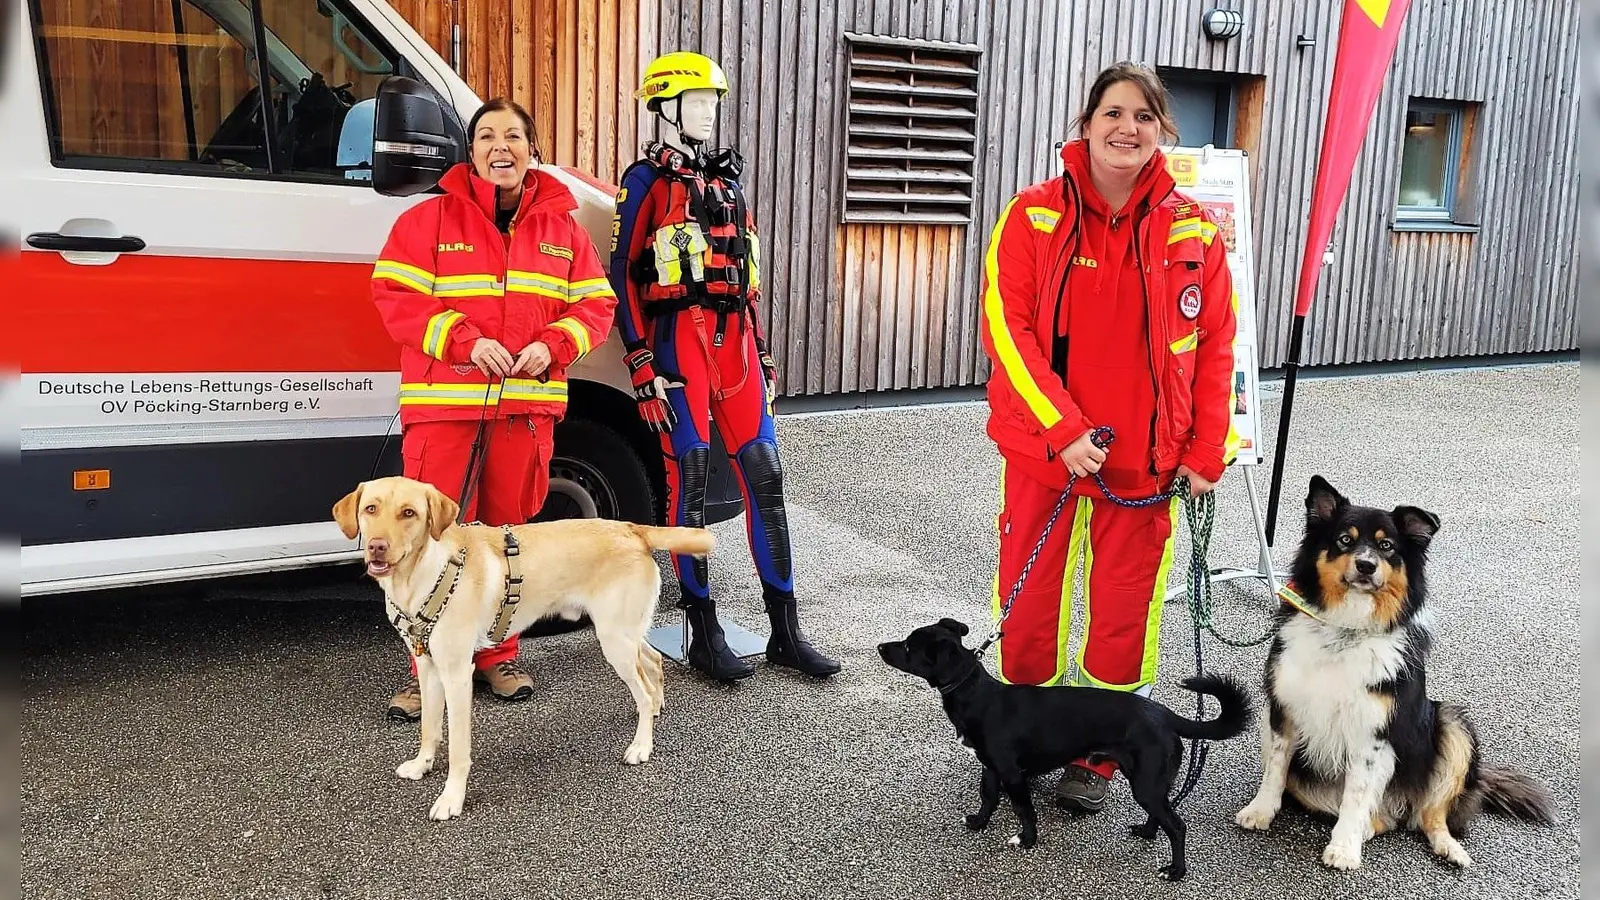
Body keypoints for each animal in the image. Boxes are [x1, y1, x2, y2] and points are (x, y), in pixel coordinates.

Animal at [331, 477, 713, 819]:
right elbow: (428, 726)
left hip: (614, 639)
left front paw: (452, 799)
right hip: (623, 633)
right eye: (370, 509)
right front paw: (422, 764)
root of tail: (633, 529)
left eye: (408, 512)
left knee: (643, 688)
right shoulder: (427, 667)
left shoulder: (457, 675)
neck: (424, 573)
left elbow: (458, 748)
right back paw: (655, 710)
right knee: (653, 661)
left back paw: (641, 745)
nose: (376, 546)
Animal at [883, 614, 1254, 877]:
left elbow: (1023, 810)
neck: (977, 695)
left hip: (1146, 783)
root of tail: (1164, 714)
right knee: (1161, 815)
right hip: (1150, 784)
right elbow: (988, 797)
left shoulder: (1011, 774)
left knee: (1177, 826)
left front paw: (1027, 840)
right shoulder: (990, 767)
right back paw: (1147, 833)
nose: (881, 647)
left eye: (908, 647)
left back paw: (1176, 871)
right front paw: (978, 823)